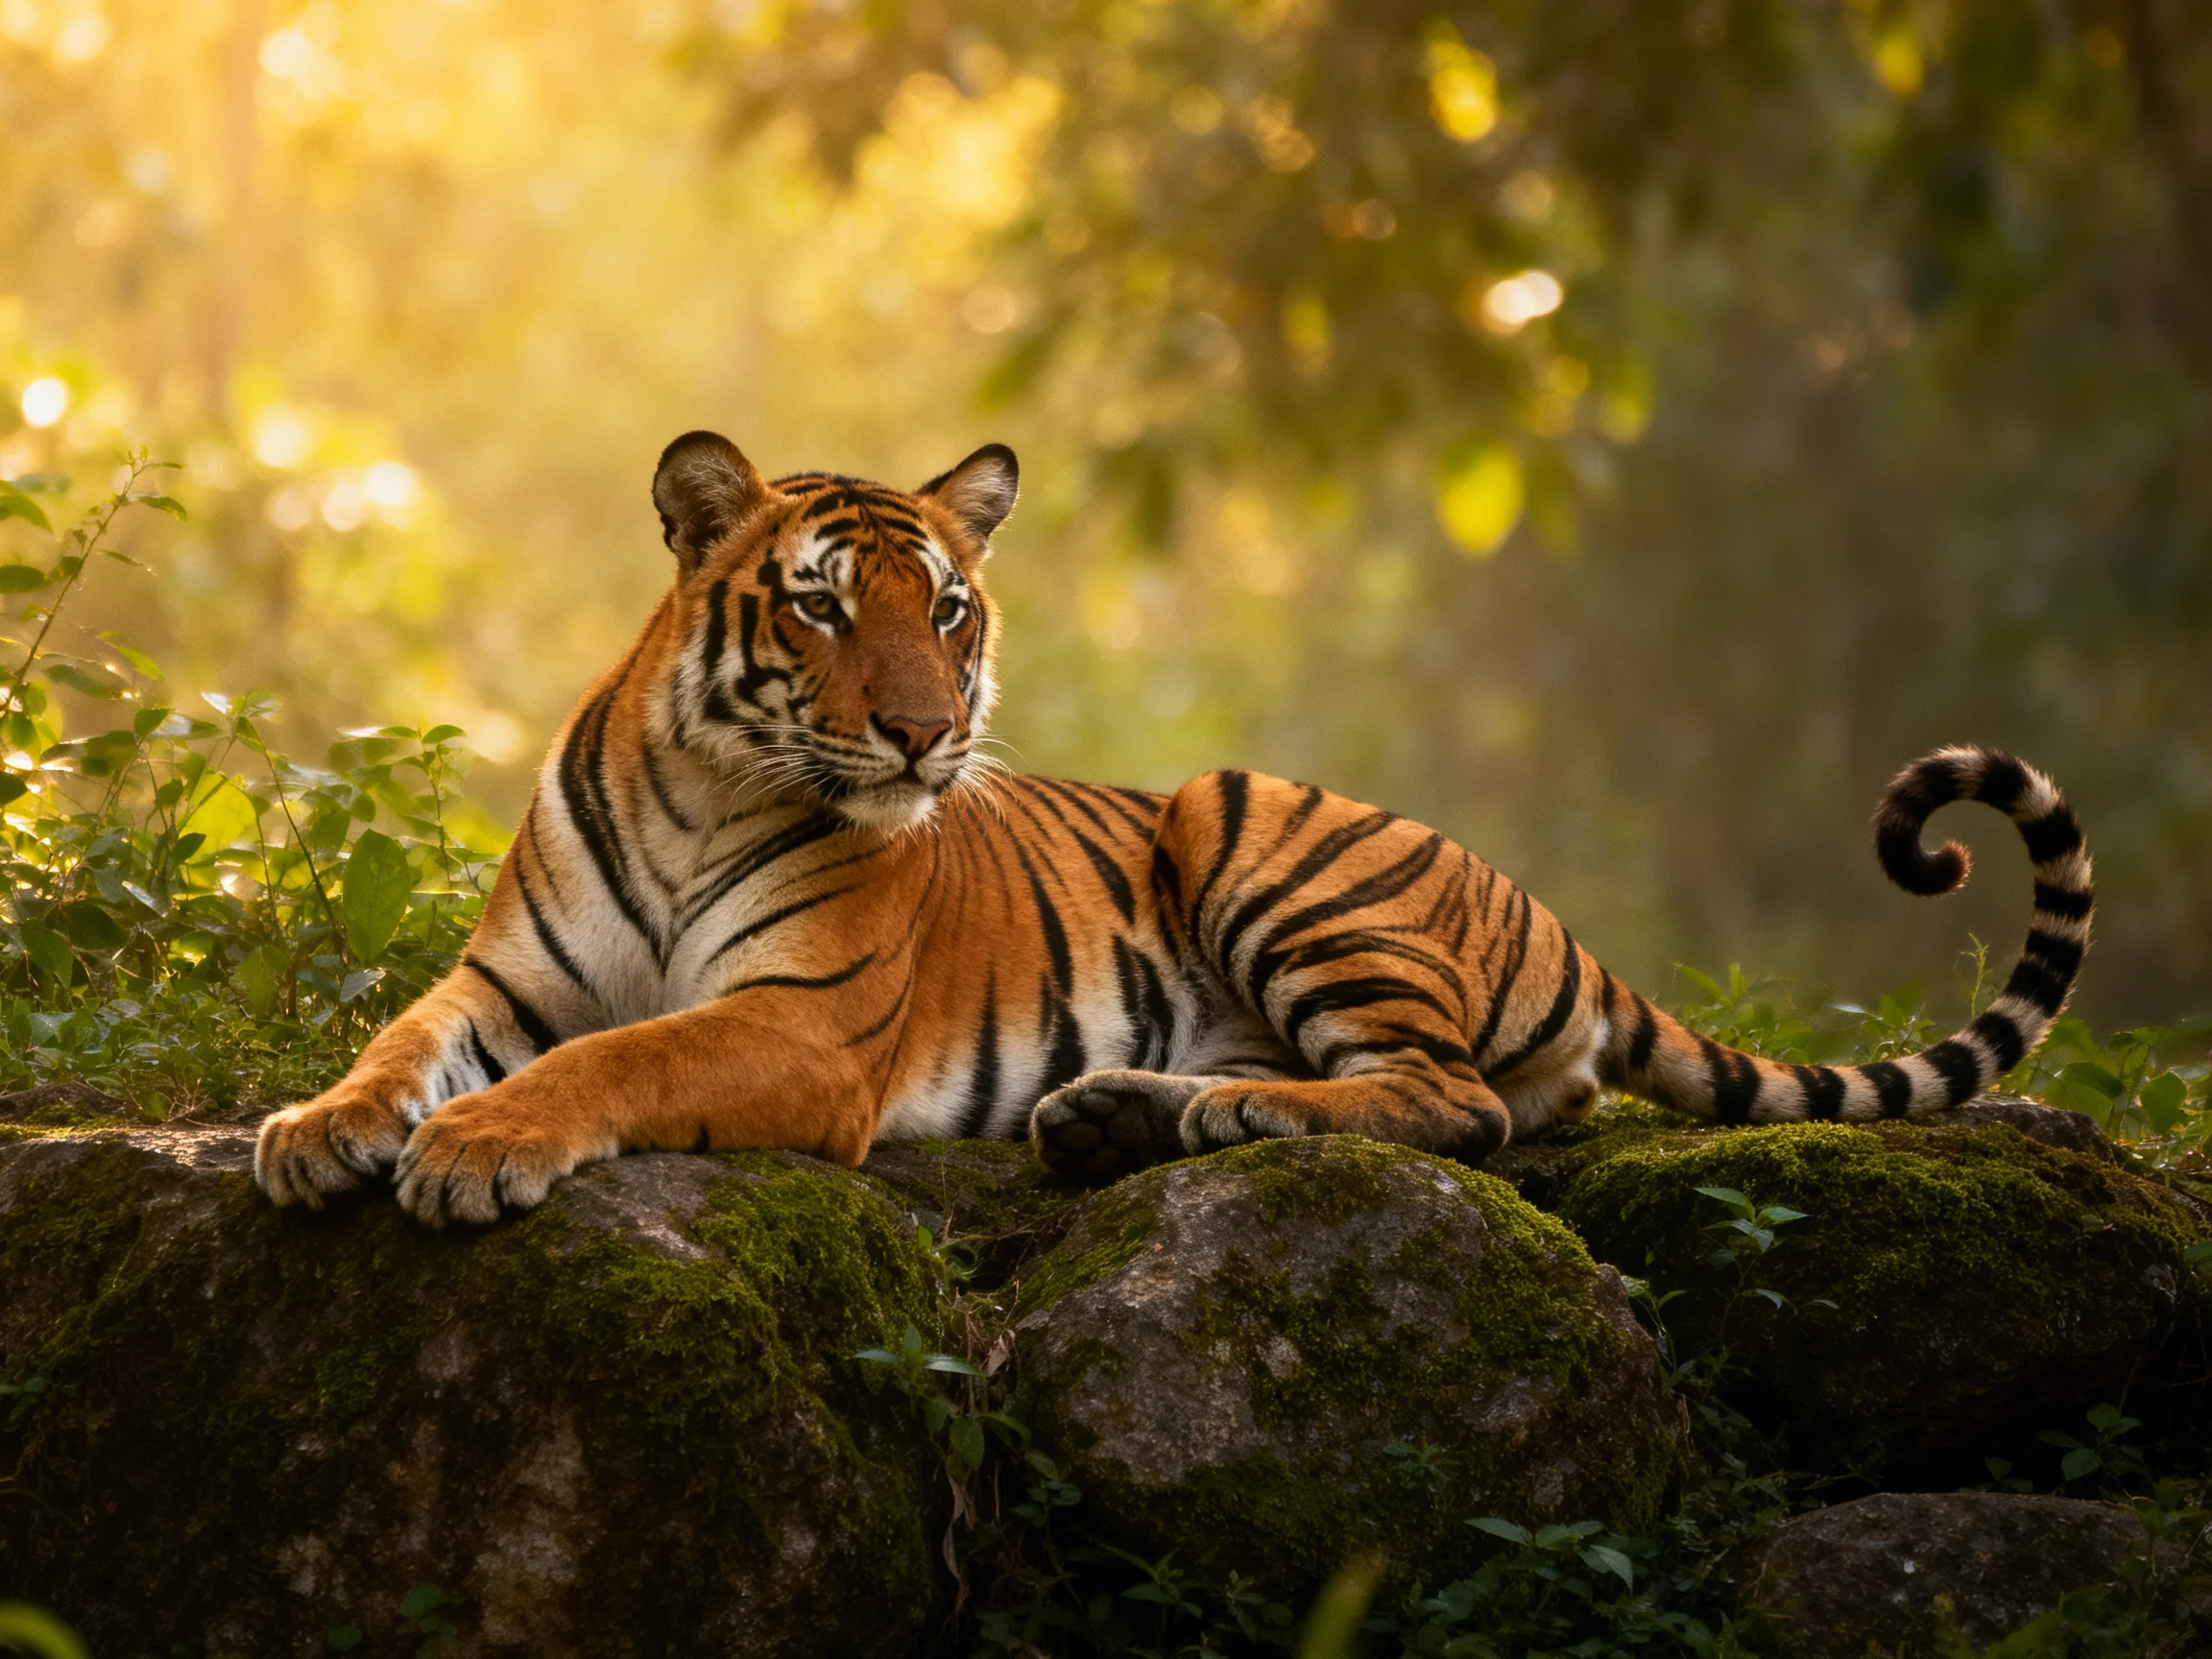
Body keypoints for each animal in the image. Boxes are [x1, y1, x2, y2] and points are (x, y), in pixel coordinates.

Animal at [253, 431, 2095, 1227]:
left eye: (950, 610)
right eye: (829, 608)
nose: (925, 733)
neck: (710, 782)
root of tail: (1557, 922)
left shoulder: (801, 1026)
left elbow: (621, 1059)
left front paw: (477, 1151)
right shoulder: (506, 980)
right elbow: (397, 1036)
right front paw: (318, 1130)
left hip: (1244, 823)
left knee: (1449, 1102)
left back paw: (1198, 1119)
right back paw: (1116, 1113)